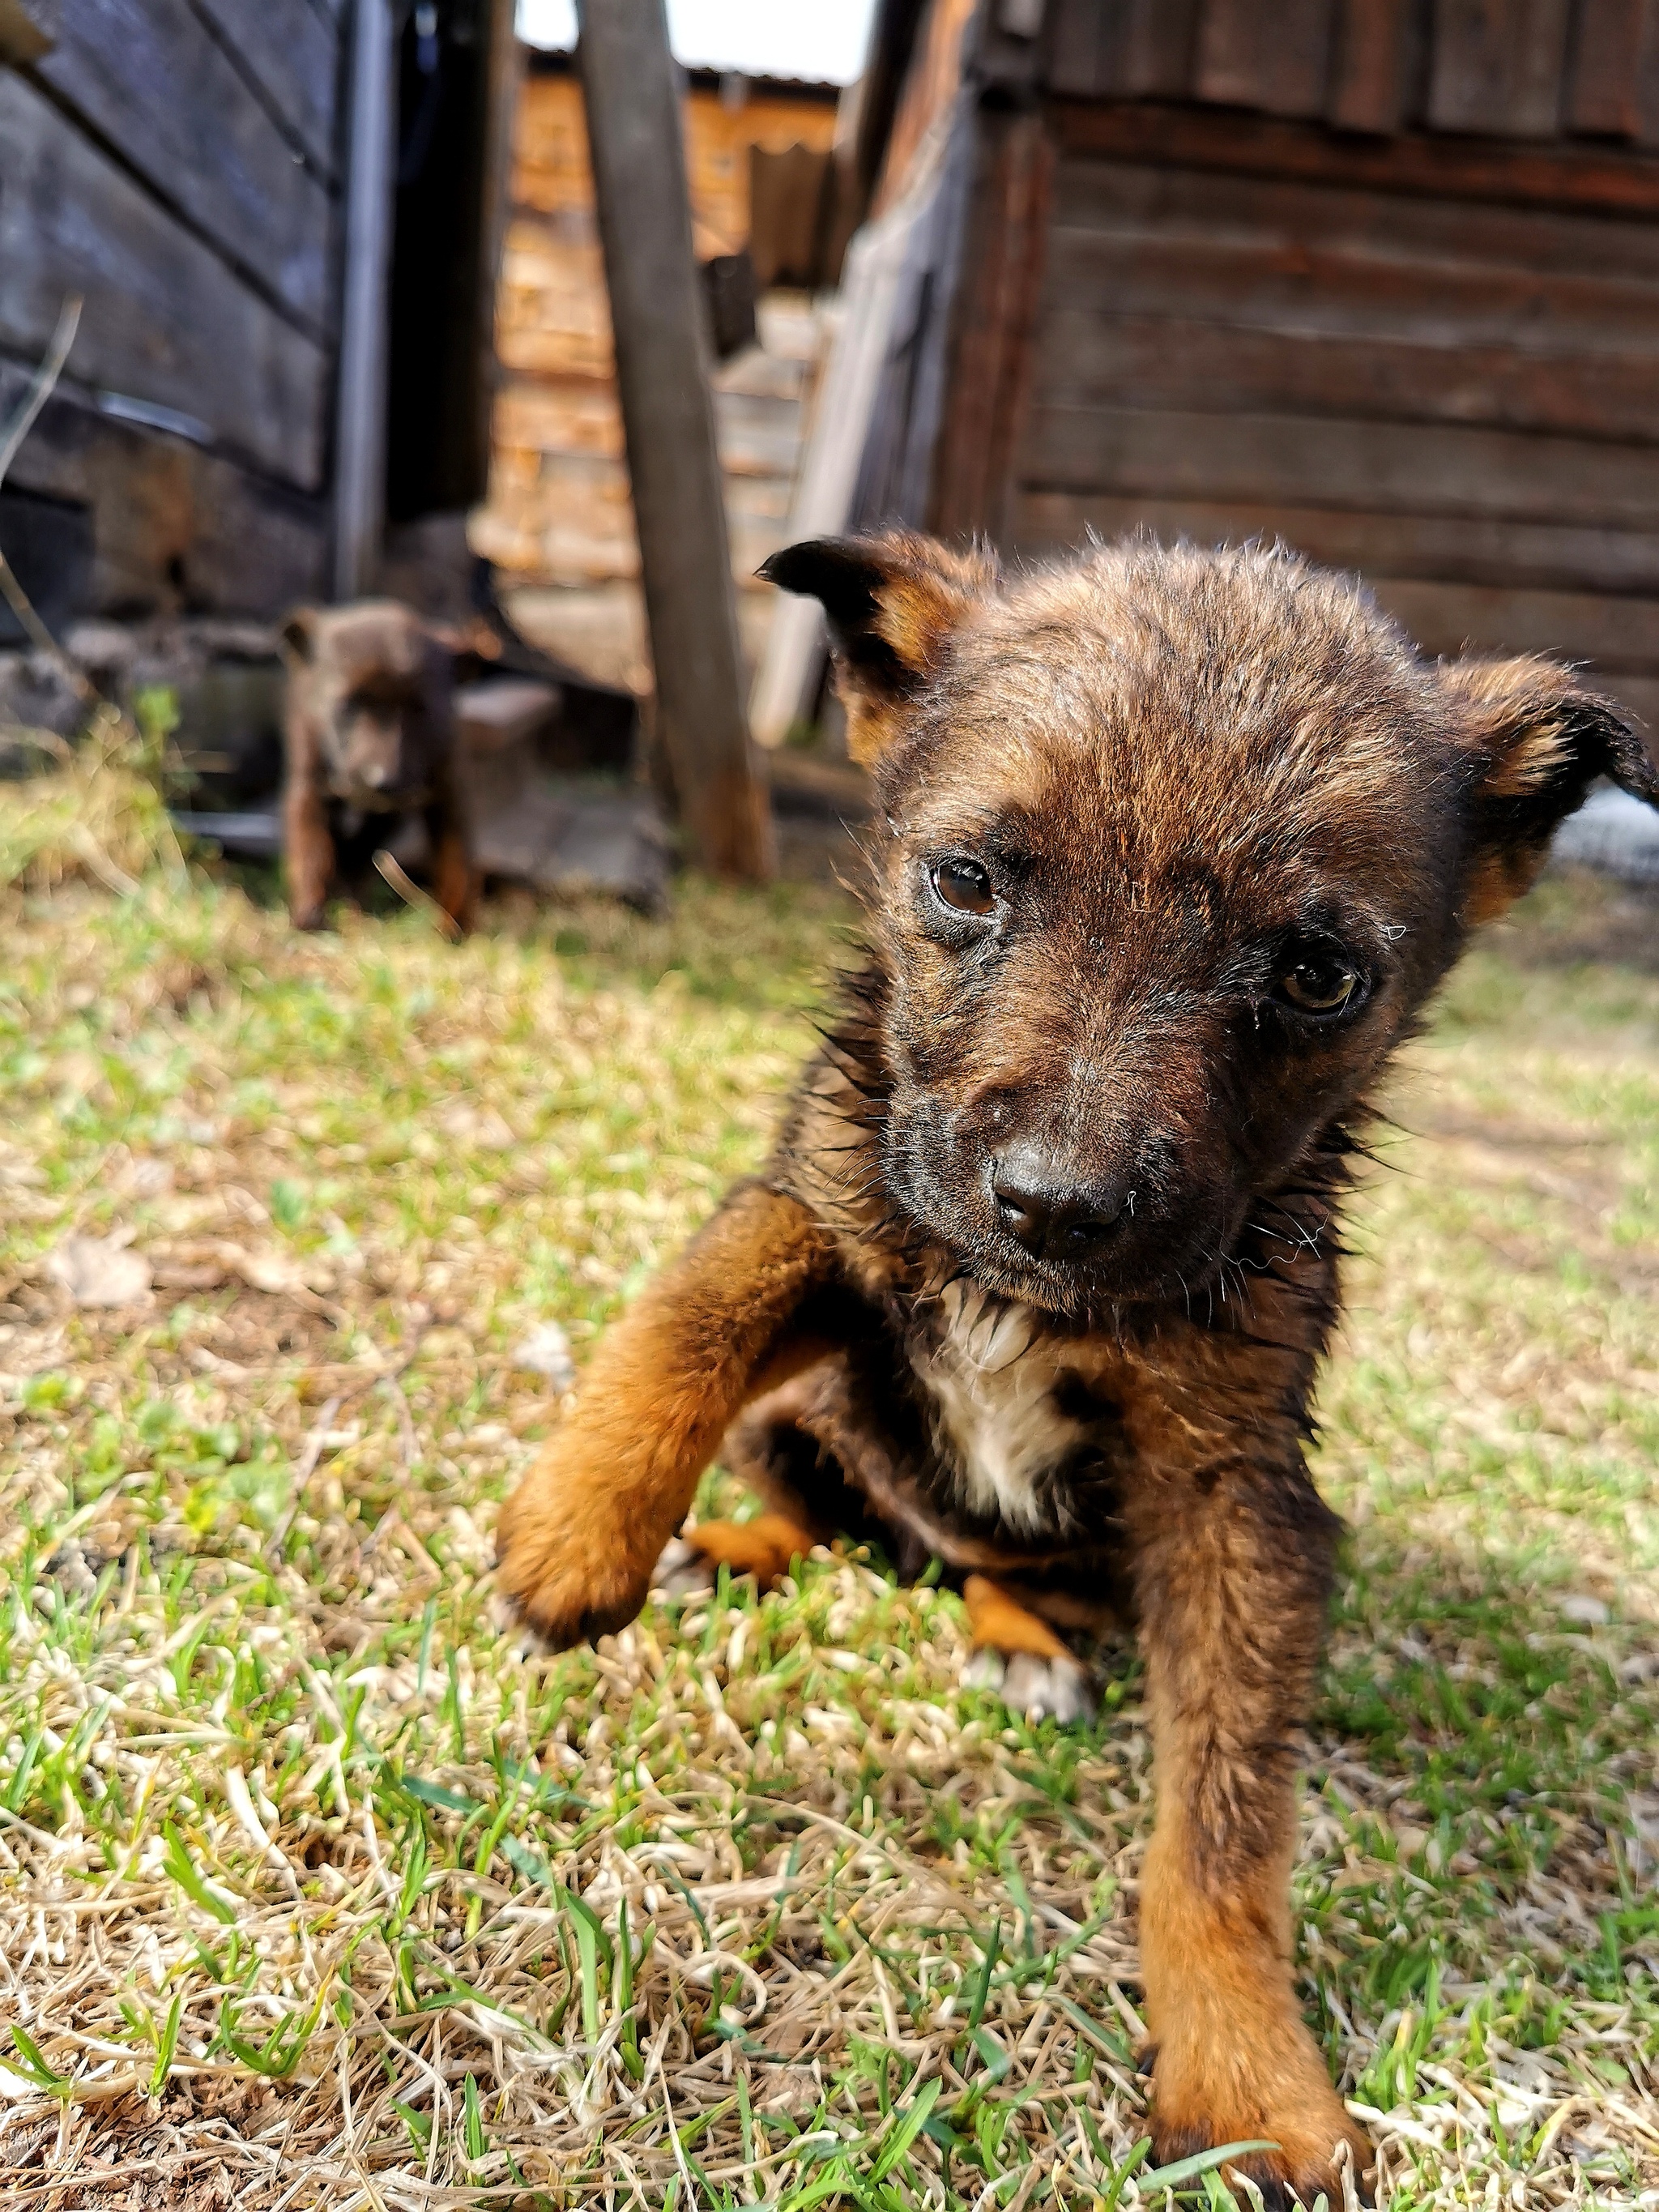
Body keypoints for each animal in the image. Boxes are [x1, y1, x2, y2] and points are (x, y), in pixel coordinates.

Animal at [280, 597, 480, 933]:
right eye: (349, 705)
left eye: (418, 711)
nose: (383, 780)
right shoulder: (309, 785)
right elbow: (312, 851)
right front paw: (310, 915)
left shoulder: (444, 790)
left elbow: (456, 860)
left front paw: (455, 927)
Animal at [497, 531, 1659, 2194]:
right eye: (965, 880)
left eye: (1317, 975)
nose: (1051, 1207)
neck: (1026, 1302)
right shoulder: (838, 1212)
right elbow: (699, 1302)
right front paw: (578, 1530)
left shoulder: (1235, 1497)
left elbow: (1221, 1836)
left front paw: (1245, 2072)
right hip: (813, 1423)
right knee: (831, 1501)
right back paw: (730, 1546)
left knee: (999, 1569)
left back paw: (1015, 1640)